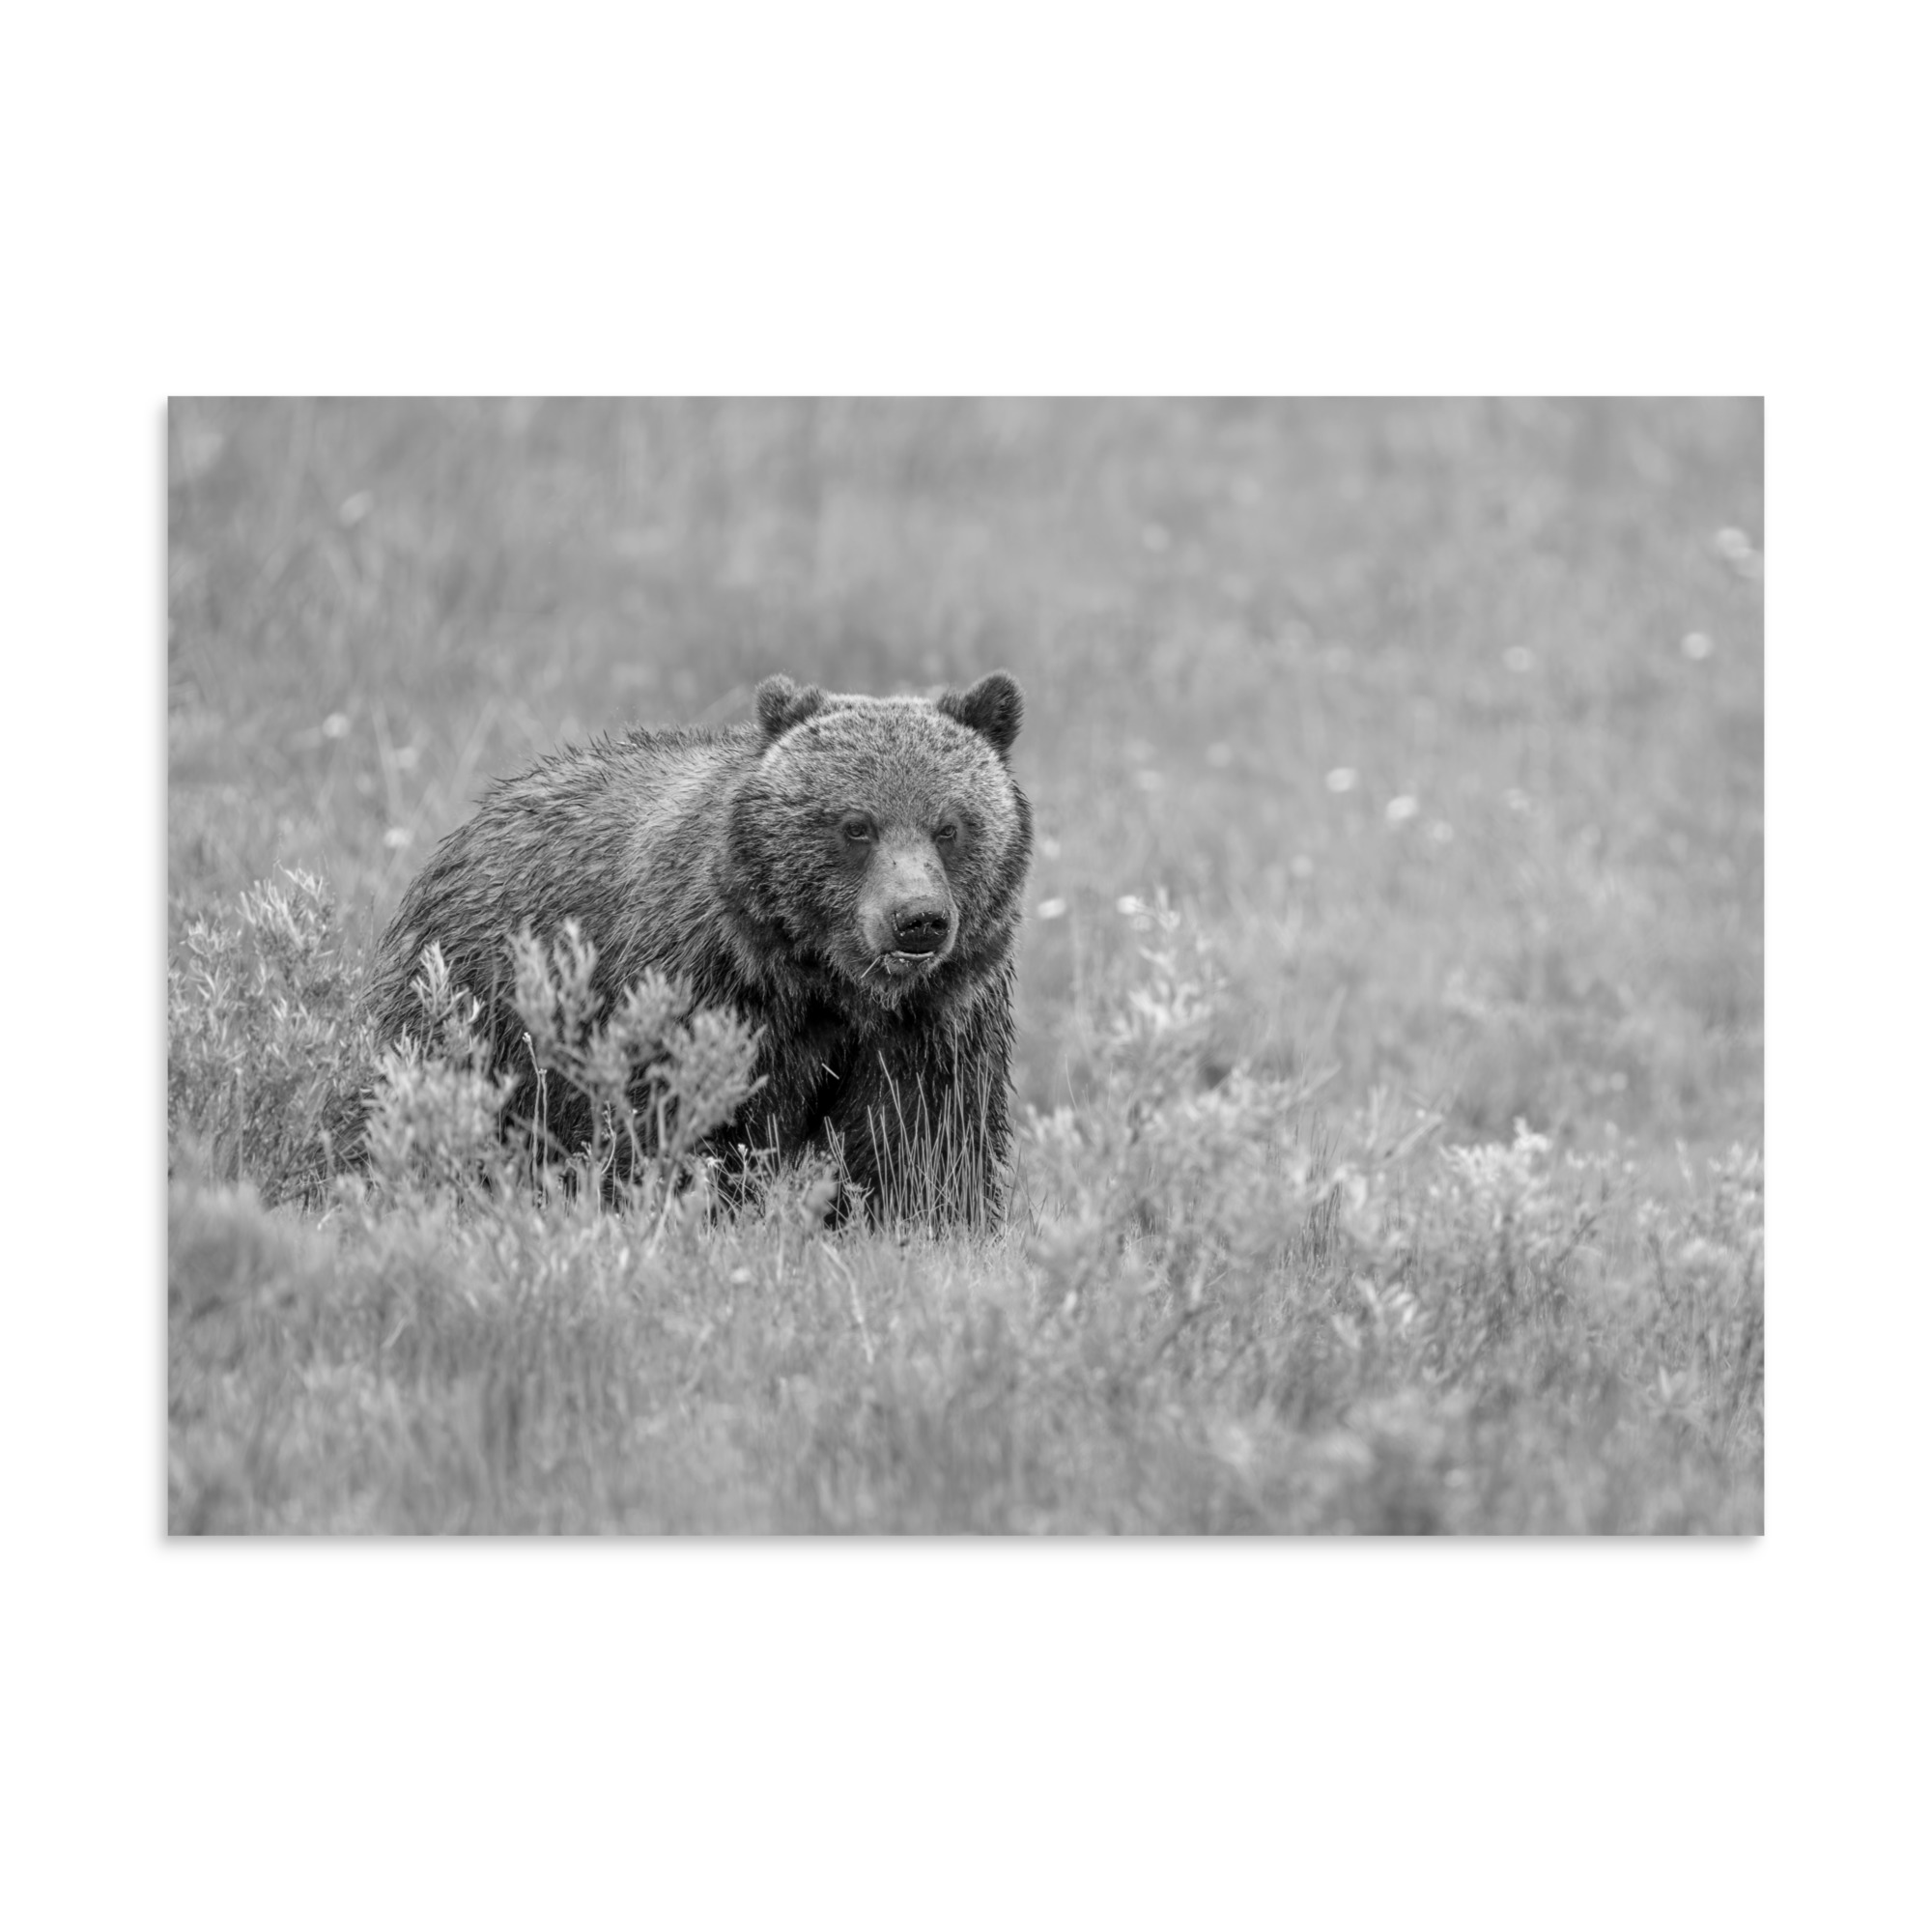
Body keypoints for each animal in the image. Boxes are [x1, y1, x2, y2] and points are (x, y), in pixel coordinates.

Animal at [366, 670, 1033, 1225]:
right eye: (856, 825)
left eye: (949, 827)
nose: (917, 920)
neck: (827, 982)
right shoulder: (706, 988)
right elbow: (684, 1121)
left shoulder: (936, 1020)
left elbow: (924, 1143)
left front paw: (926, 1223)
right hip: (478, 1002)